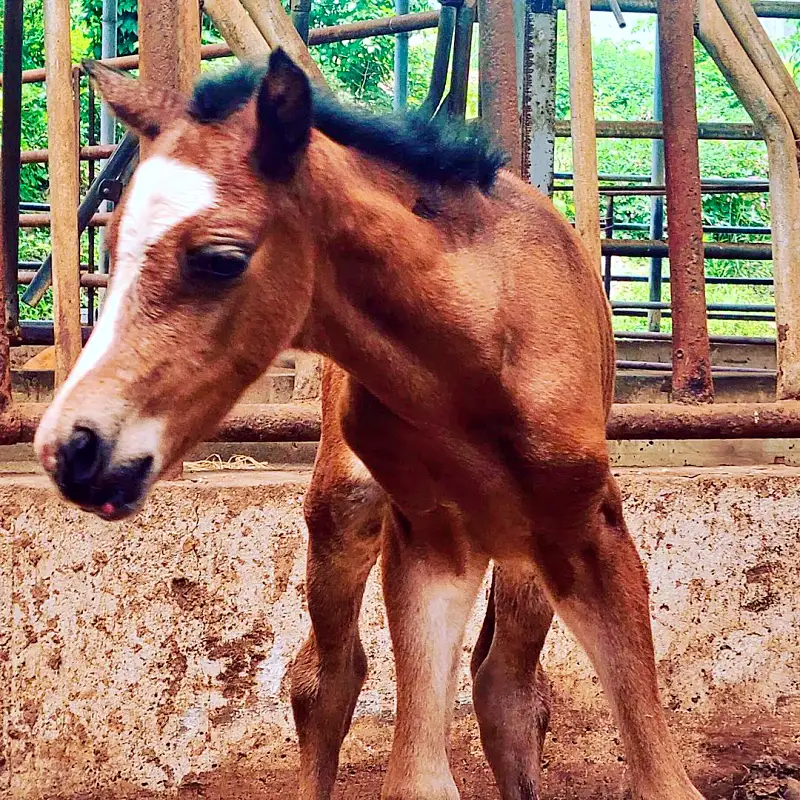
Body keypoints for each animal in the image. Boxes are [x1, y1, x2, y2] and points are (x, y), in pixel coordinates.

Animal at [34, 51, 704, 800]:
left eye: (220, 259)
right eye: (112, 242)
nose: (72, 448)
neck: (475, 352)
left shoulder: (585, 530)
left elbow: (659, 775)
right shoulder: (430, 541)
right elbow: (414, 774)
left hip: (523, 554)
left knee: (507, 689)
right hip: (348, 508)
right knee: (327, 679)